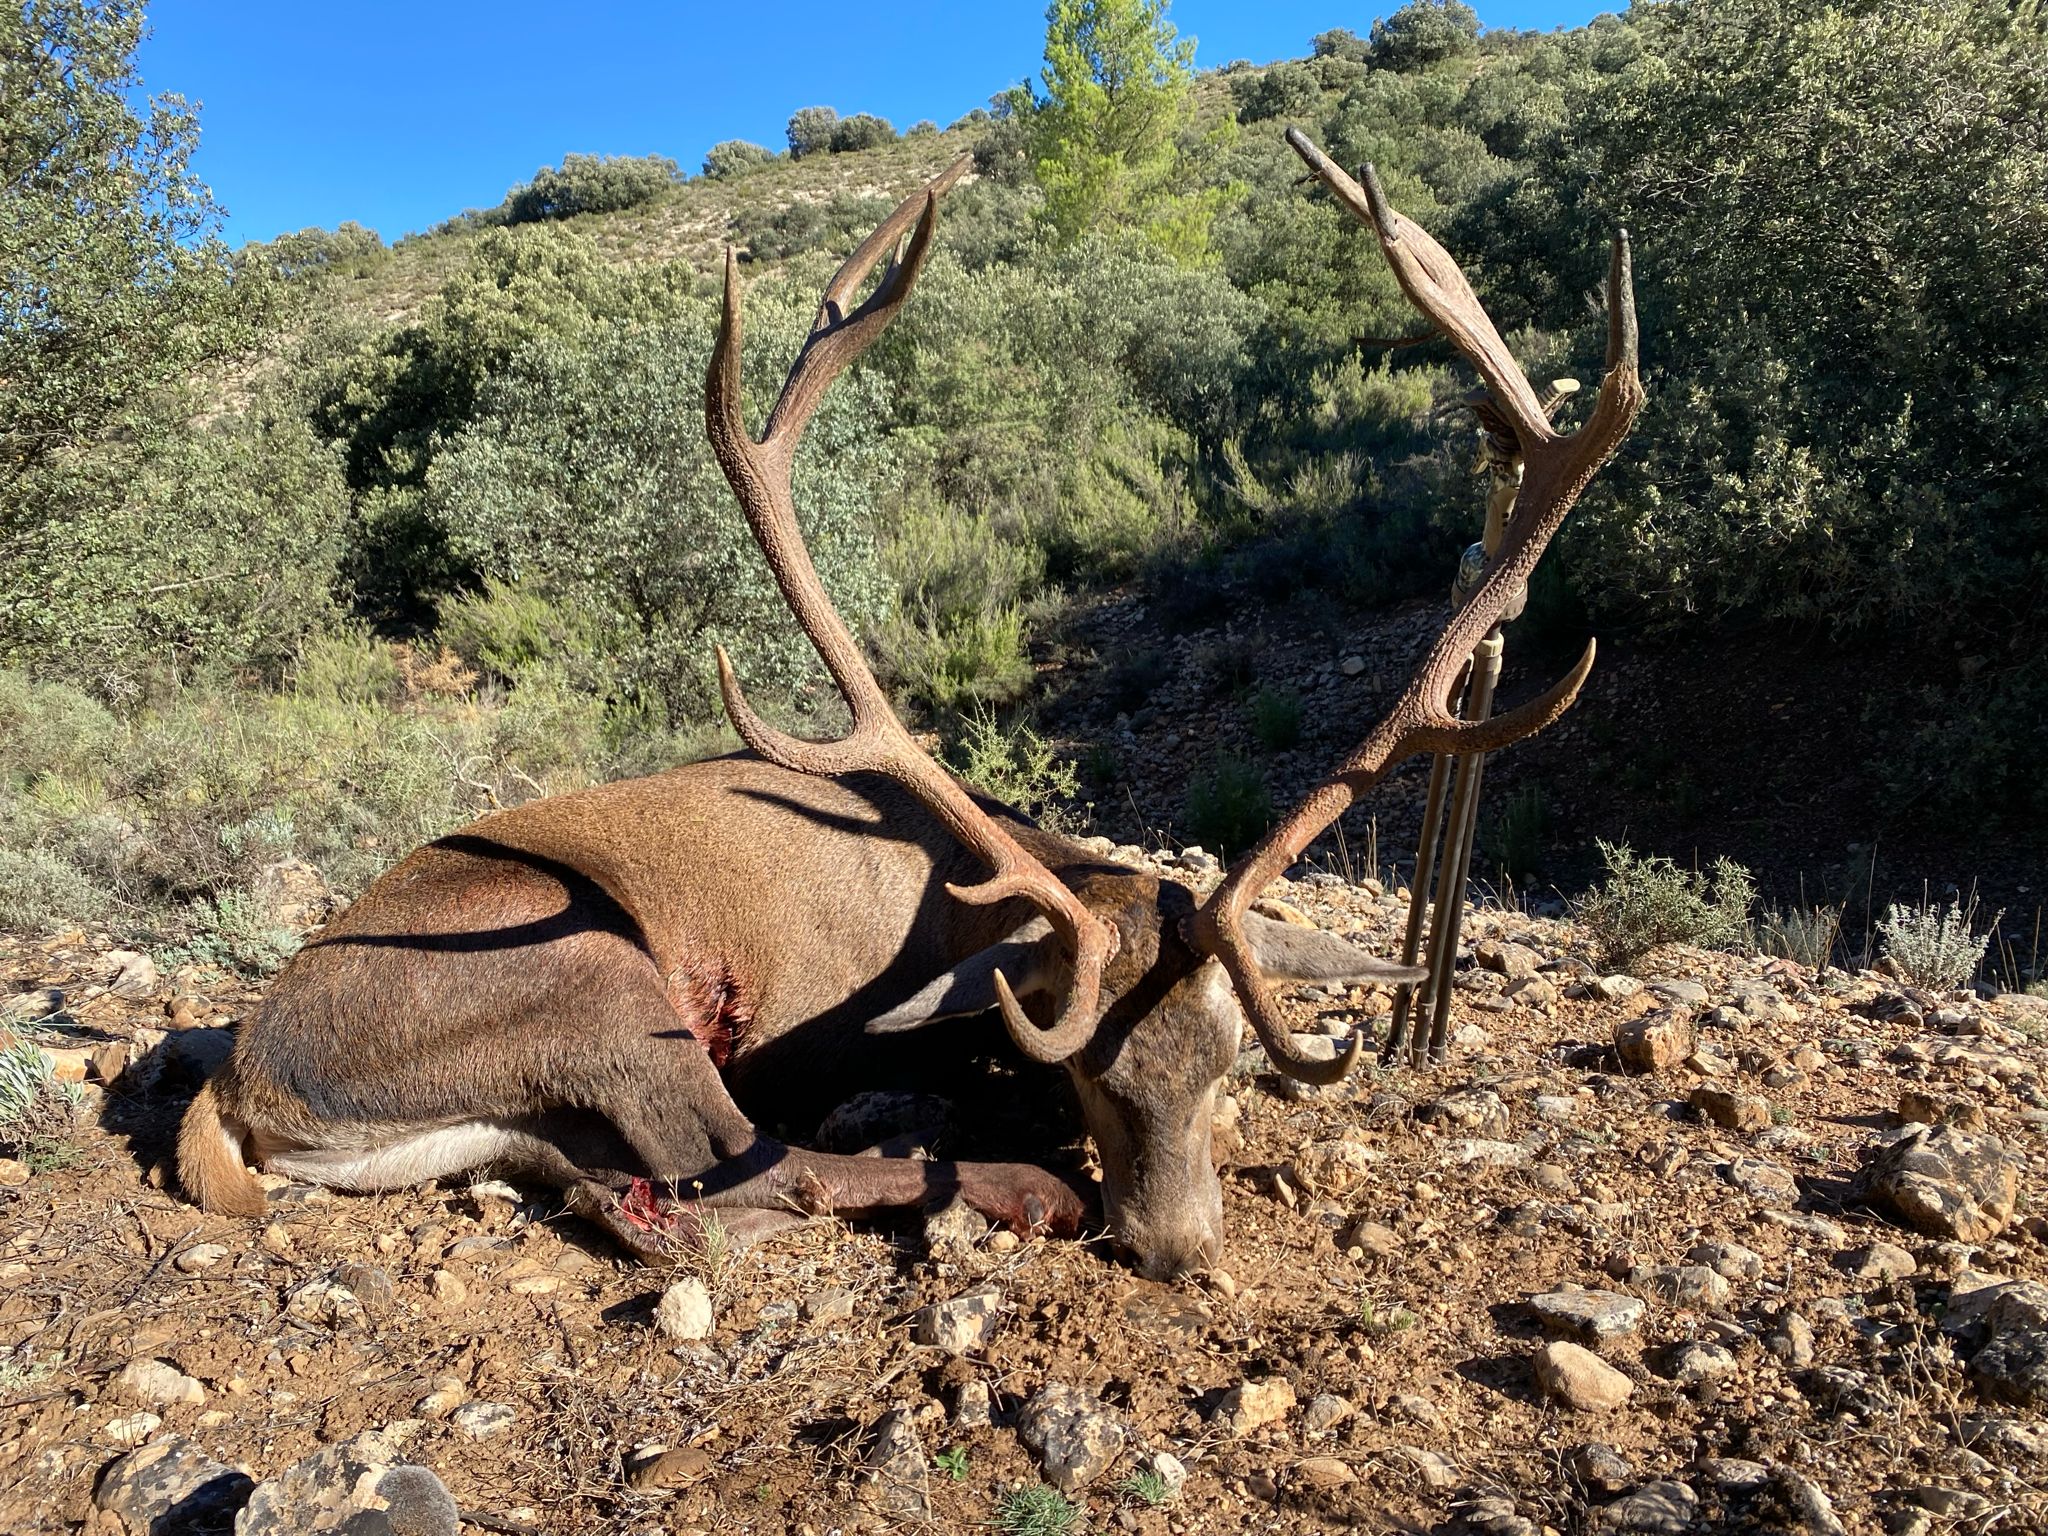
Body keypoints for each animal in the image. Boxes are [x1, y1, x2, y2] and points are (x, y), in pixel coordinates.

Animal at [177, 136, 1641, 1281]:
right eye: (1086, 1073)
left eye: (1230, 1060)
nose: (1177, 1248)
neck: (954, 900)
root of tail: (240, 1082)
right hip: (586, 977)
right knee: (744, 1173)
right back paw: (1009, 1190)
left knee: (631, 1189)